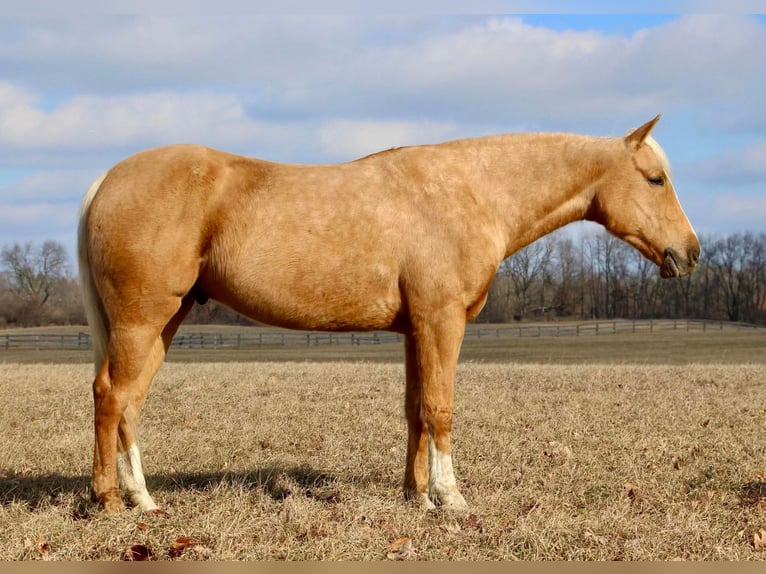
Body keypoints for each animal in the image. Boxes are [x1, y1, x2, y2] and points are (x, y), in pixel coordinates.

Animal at [78, 115, 704, 516]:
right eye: (655, 179)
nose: (691, 253)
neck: (471, 191)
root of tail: (107, 179)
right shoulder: (443, 321)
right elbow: (440, 409)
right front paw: (450, 500)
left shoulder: (415, 328)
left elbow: (414, 411)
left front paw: (415, 494)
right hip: (142, 320)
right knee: (111, 396)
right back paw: (108, 500)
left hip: (165, 321)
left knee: (130, 402)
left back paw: (143, 499)